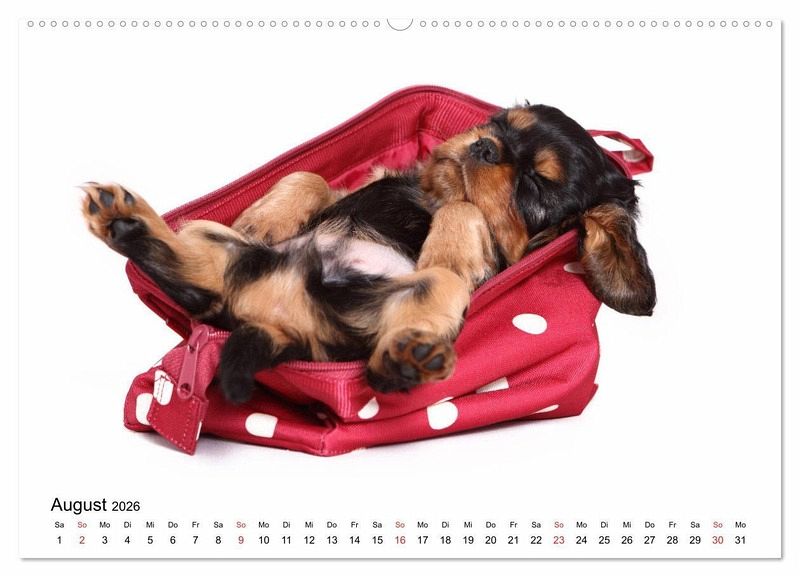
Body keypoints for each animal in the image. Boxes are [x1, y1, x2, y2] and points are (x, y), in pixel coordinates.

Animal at [81, 104, 656, 404]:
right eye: (498, 124)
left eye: (535, 185)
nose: (483, 145)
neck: (430, 194)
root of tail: (277, 322)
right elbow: (311, 176)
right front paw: (264, 218)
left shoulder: (494, 251)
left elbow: (464, 211)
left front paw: (449, 245)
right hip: (215, 248)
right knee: (192, 272)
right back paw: (123, 221)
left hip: (413, 309)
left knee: (389, 364)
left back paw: (410, 356)